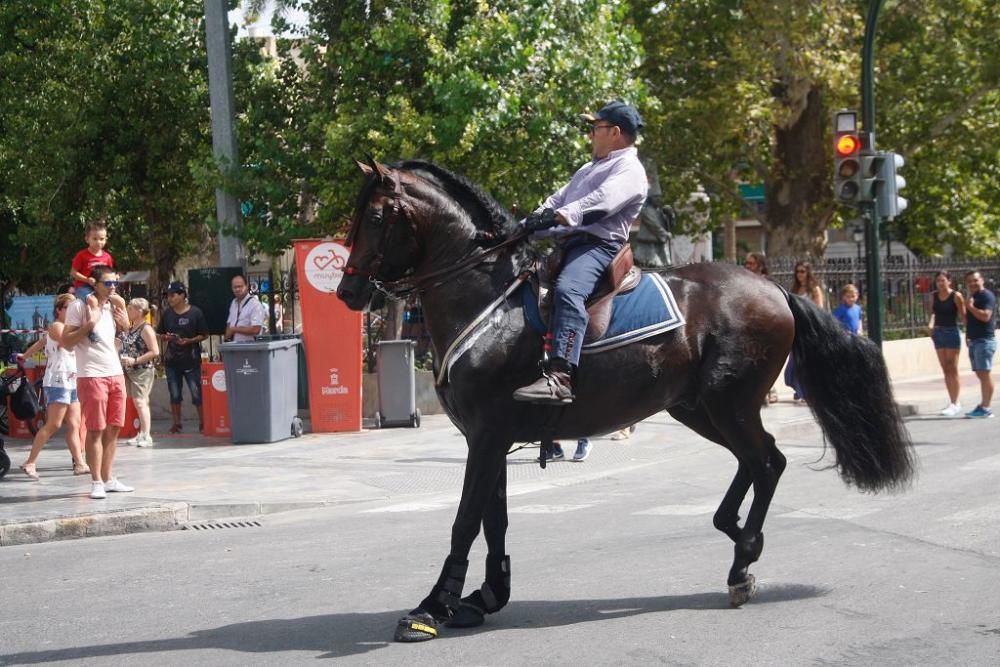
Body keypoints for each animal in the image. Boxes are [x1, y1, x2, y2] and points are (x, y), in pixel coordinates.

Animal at [336, 159, 916, 644]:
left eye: (377, 214)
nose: (347, 292)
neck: (489, 304)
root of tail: (773, 288)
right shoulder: (491, 438)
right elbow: (492, 519)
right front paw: (486, 595)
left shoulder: (486, 434)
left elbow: (464, 520)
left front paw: (431, 608)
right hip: (697, 407)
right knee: (759, 461)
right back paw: (736, 542)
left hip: (728, 403)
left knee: (767, 461)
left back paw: (741, 557)